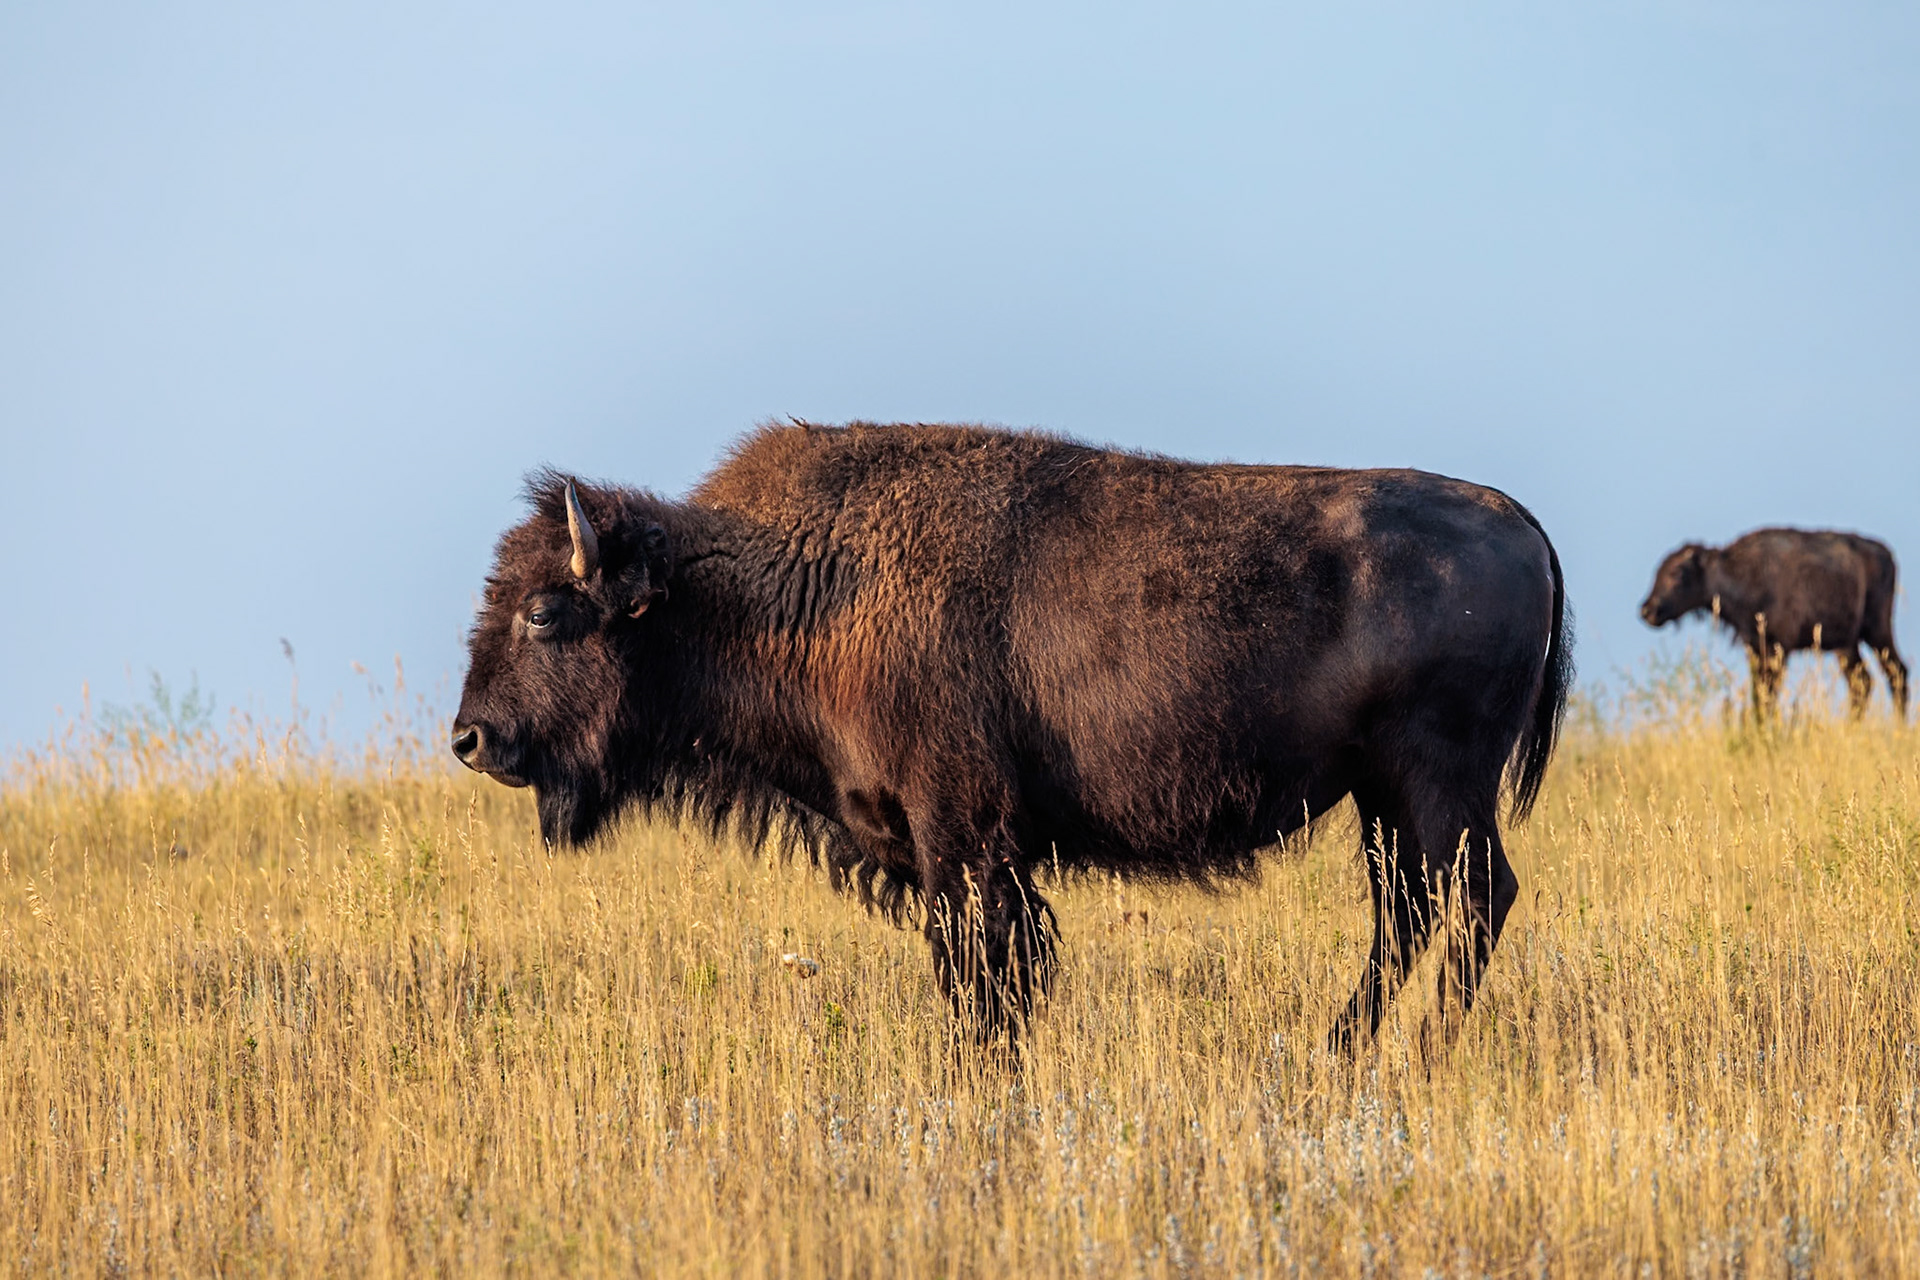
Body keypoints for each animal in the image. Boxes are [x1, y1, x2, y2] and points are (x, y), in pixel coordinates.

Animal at [452, 423, 1571, 1047]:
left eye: (546, 612)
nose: (471, 738)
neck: (784, 585)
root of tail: (1517, 519)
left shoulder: (963, 837)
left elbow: (983, 967)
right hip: (1382, 796)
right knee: (1410, 911)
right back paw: (1340, 1051)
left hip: (1436, 782)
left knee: (1474, 897)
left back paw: (1412, 1051)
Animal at [1640, 529, 1908, 721]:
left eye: (1678, 572)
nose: (1647, 610)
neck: (1740, 573)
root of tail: (1886, 553)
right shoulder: (1755, 648)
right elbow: (1759, 692)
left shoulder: (1778, 648)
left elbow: (1768, 692)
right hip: (1847, 645)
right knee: (1862, 683)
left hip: (1877, 632)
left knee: (1896, 673)